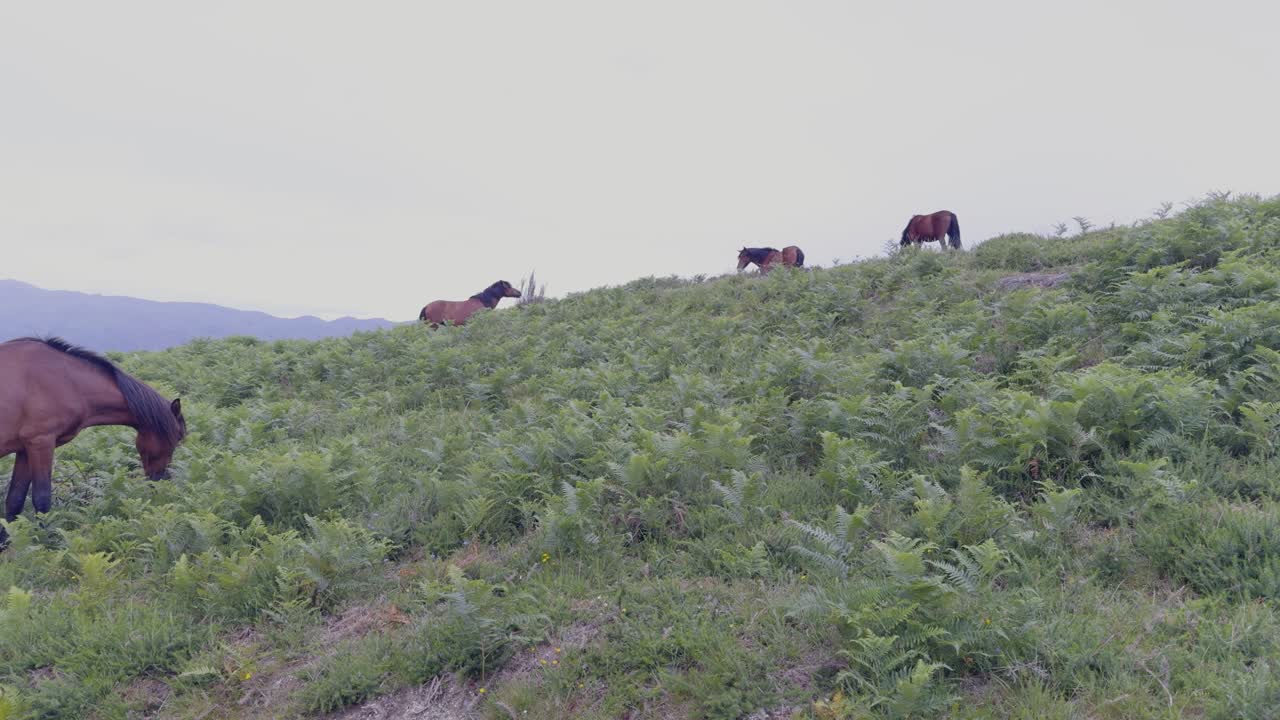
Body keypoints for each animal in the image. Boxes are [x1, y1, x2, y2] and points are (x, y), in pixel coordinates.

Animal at [1, 337, 186, 546]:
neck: (67, 380)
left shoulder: (24, 449)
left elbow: (15, 499)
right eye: (177, 438)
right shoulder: (41, 443)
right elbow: (42, 498)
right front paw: (44, 543)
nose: (161, 481)